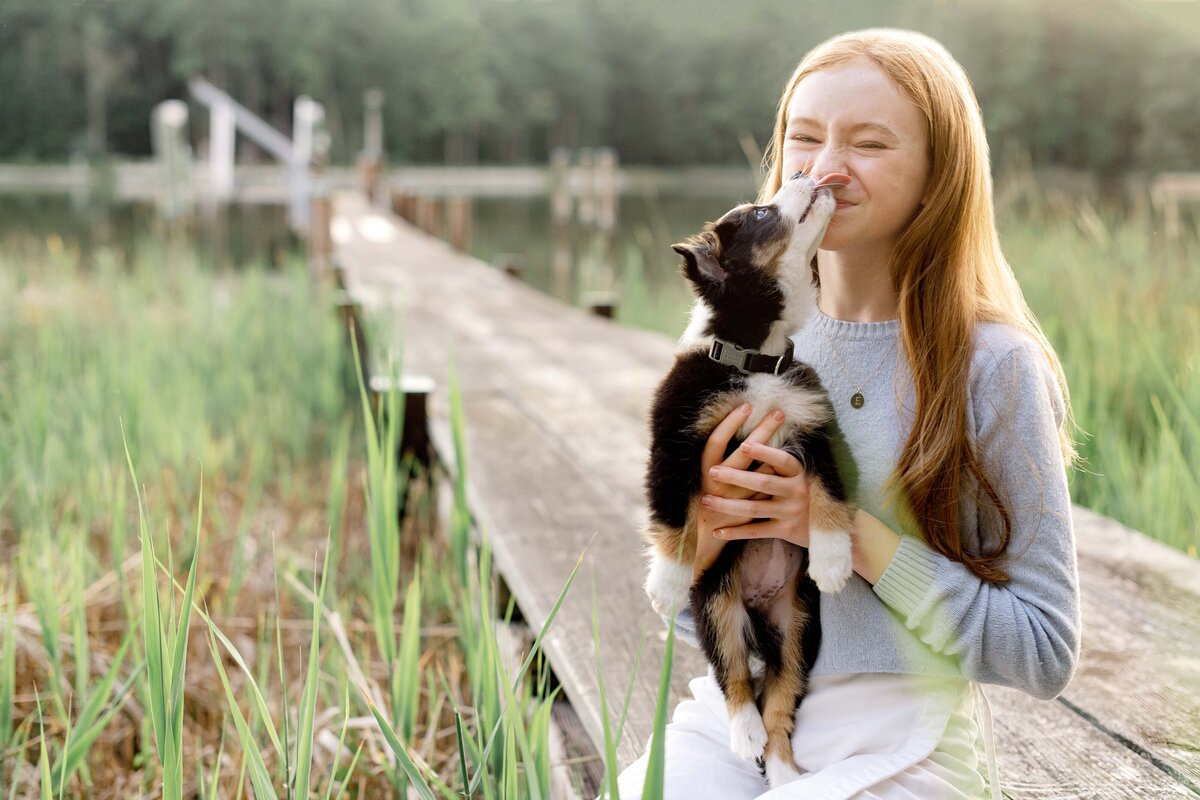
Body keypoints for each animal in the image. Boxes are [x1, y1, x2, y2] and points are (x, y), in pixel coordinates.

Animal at [643, 170, 859, 786]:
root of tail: (760, 610)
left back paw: (783, 770)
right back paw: (744, 734)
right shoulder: (675, 439)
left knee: (781, 699)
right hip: (717, 608)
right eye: (761, 215)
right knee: (736, 677)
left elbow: (828, 495)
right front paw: (665, 584)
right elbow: (673, 513)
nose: (808, 174)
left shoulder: (816, 432)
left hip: (801, 627)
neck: (756, 358)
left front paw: (832, 560)